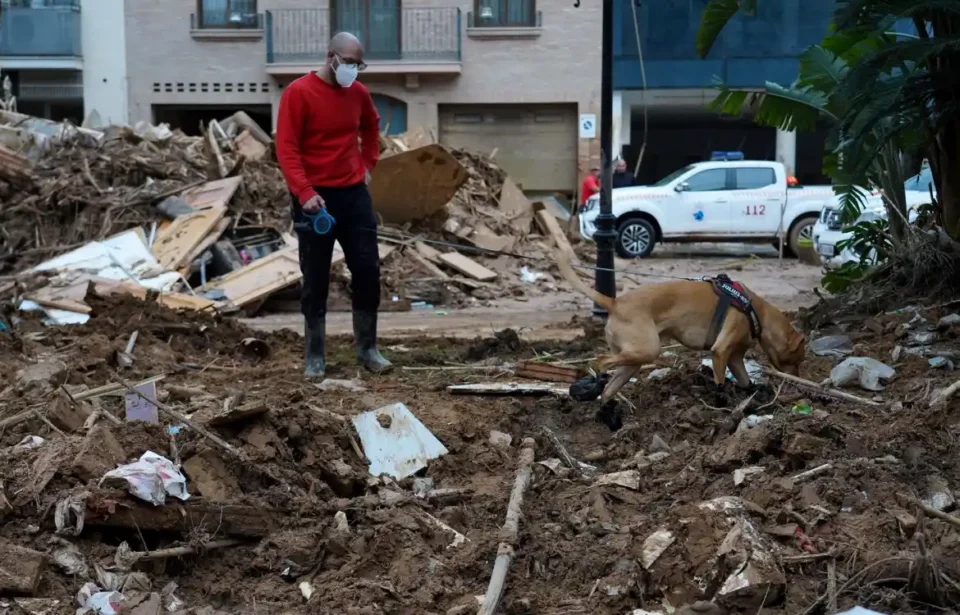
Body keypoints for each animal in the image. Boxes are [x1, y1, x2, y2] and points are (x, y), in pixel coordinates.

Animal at [560, 255, 808, 404]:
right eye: (797, 360)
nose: (797, 380)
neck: (755, 310)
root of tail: (614, 302)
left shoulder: (736, 358)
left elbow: (746, 380)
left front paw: (755, 393)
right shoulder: (720, 351)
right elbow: (720, 382)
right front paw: (723, 402)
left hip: (634, 360)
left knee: (609, 390)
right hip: (646, 350)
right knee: (601, 362)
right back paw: (594, 383)